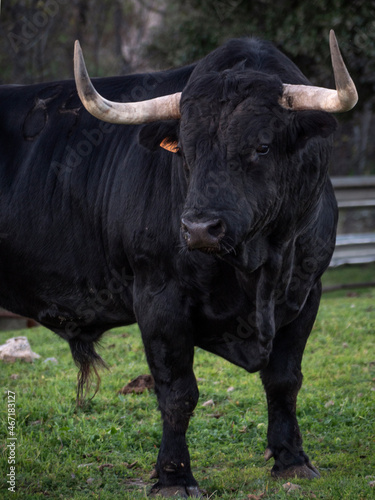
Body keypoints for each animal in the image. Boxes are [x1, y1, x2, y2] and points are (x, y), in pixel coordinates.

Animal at [0, 36, 350, 496]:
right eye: (186, 150)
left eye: (262, 146)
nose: (200, 228)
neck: (257, 266)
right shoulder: (158, 299)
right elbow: (177, 393)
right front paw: (174, 477)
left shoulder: (307, 294)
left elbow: (284, 379)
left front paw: (291, 460)